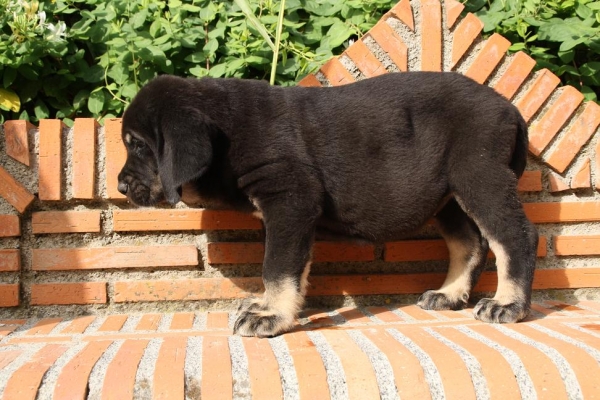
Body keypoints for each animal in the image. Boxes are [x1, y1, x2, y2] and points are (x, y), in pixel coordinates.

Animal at [118, 72, 540, 338]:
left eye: (138, 145)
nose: (121, 186)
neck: (227, 133)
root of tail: (512, 110)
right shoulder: (292, 212)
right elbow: (292, 268)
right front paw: (270, 306)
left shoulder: (290, 199)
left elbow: (277, 267)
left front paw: (272, 315)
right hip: (447, 193)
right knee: (470, 242)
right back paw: (449, 294)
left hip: (479, 173)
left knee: (516, 237)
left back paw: (508, 304)